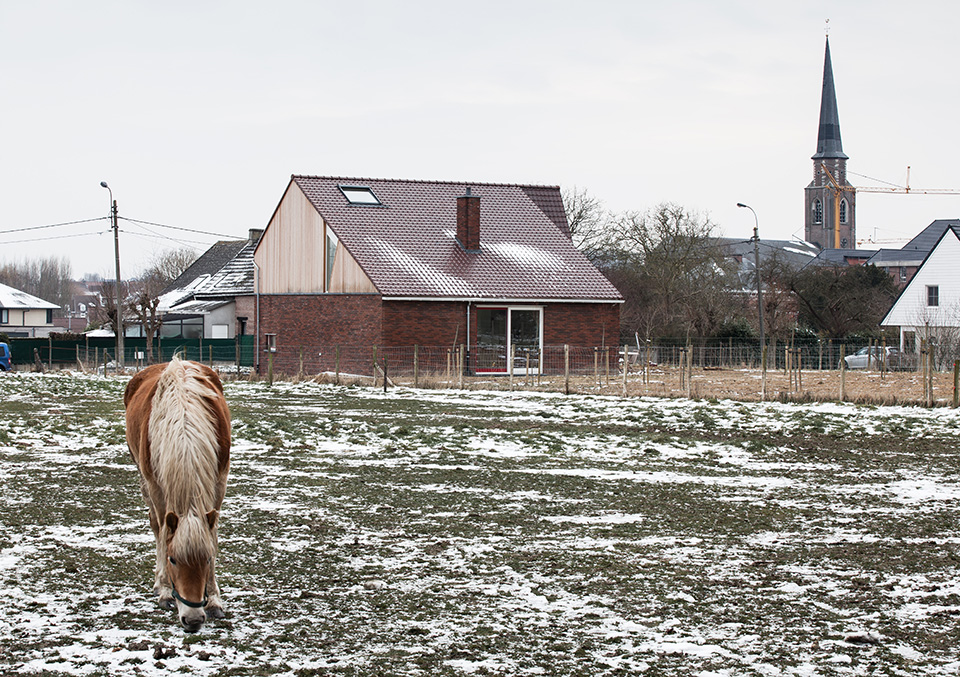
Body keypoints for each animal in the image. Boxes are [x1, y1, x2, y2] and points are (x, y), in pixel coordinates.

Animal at [124, 356, 231, 632]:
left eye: (207, 559)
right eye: (173, 560)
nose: (192, 620)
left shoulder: (219, 482)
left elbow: (212, 535)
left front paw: (214, 599)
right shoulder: (156, 487)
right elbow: (163, 532)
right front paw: (164, 591)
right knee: (155, 525)